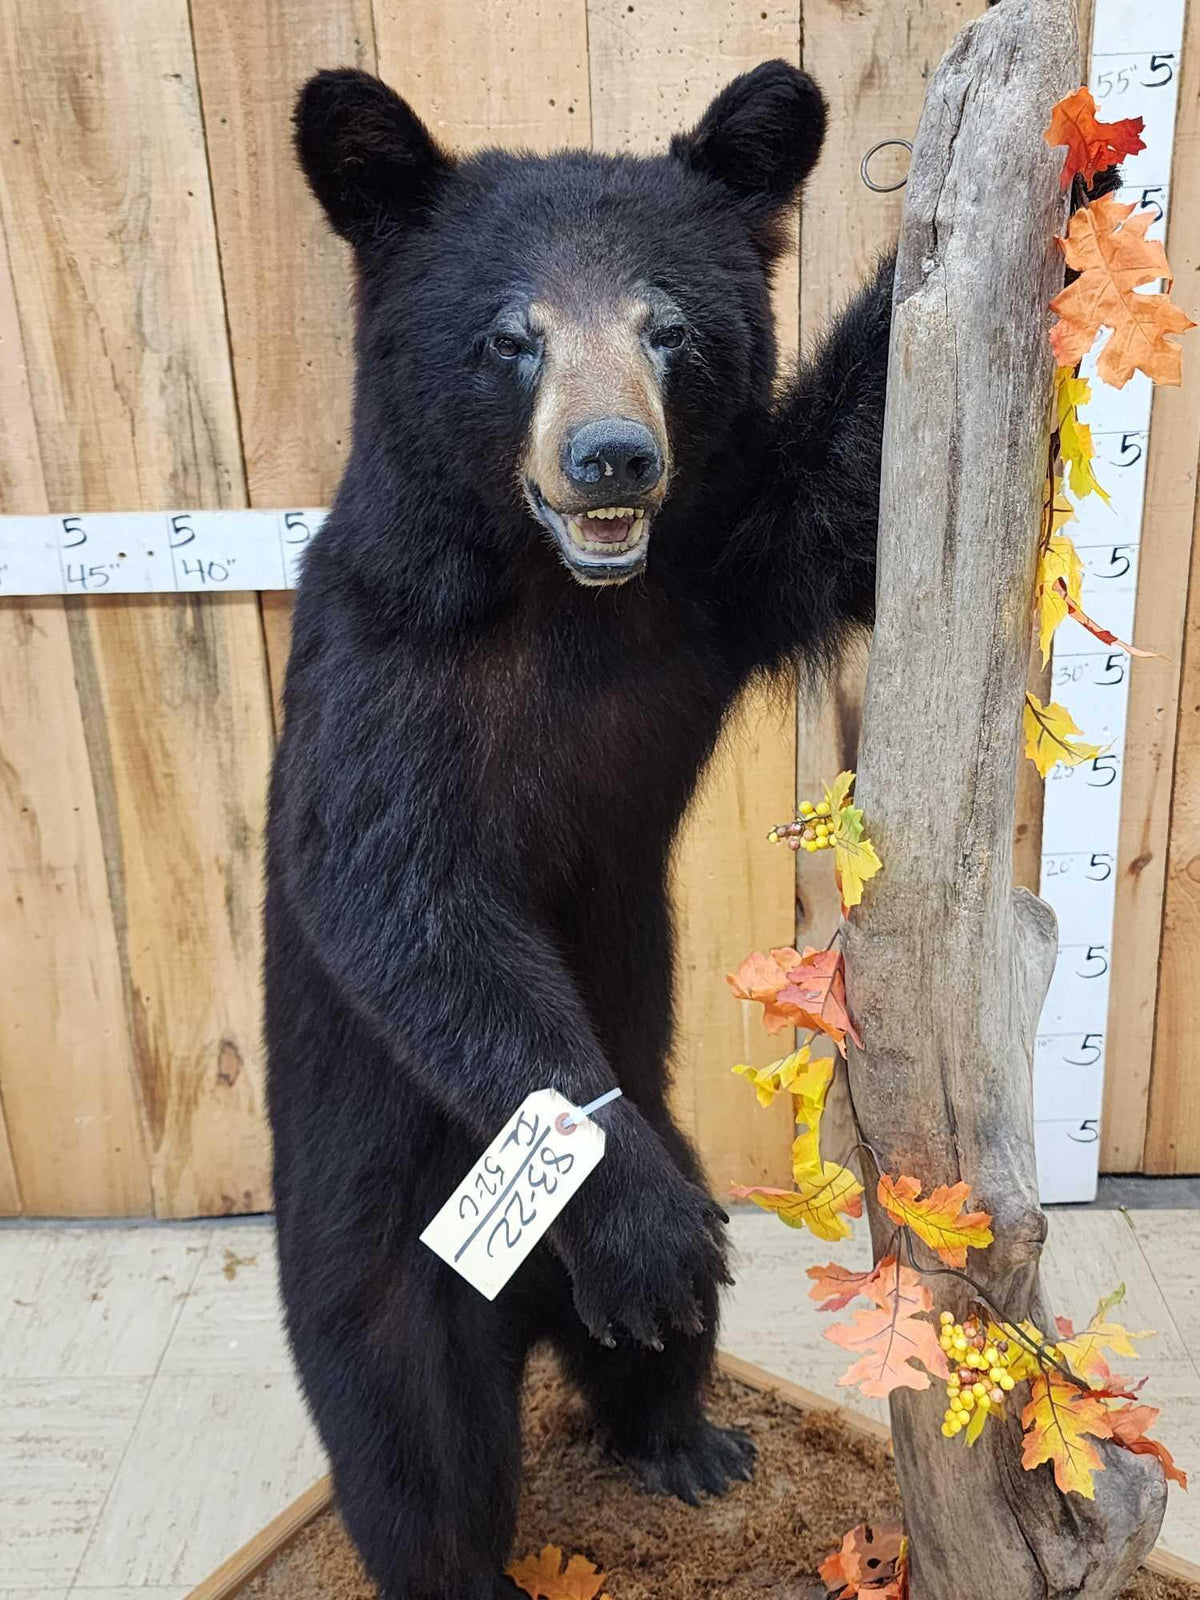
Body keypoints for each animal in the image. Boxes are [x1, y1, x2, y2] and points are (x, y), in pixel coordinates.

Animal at [266, 59, 892, 1600]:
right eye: (512, 336)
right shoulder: (382, 666)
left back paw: (687, 1438)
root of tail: (534, 1315)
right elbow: (400, 895)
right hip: (379, 1269)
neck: (560, 594)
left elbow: (835, 500)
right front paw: (640, 1223)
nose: (613, 459)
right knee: (413, 1448)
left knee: (664, 1347)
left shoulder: (712, 577)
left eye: (668, 326)